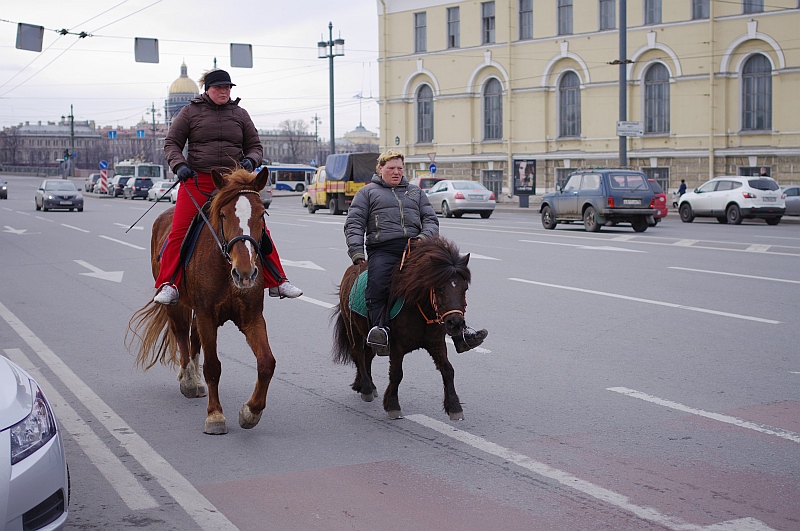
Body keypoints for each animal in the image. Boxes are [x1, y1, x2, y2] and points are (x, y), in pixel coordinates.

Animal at [125, 168, 274, 434]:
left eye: (262, 214)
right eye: (223, 214)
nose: (245, 272)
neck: (225, 267)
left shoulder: (252, 318)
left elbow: (266, 363)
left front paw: (251, 412)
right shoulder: (206, 315)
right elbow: (213, 366)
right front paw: (215, 415)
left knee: (193, 336)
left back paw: (193, 376)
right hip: (178, 304)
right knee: (182, 332)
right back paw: (188, 379)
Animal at [332, 237, 472, 420]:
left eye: (465, 288)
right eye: (440, 288)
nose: (455, 323)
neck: (418, 307)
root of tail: (353, 269)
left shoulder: (436, 343)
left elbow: (448, 370)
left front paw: (455, 407)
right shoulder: (397, 347)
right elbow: (397, 374)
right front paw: (392, 405)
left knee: (367, 355)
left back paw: (364, 385)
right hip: (353, 329)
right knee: (358, 354)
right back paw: (367, 388)